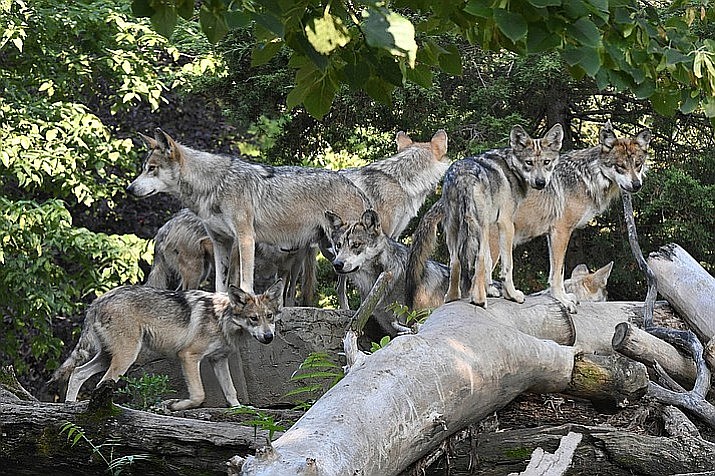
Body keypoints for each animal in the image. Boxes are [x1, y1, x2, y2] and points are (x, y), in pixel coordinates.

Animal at [47, 280, 286, 410]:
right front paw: (173, 405)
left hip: (108, 357)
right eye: (253, 319)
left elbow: (231, 391)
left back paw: (70, 407)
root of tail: (98, 300)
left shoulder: (218, 360)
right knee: (100, 383)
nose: (268, 336)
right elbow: (198, 396)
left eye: (269, 316)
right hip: (126, 357)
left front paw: (239, 410)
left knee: (77, 373)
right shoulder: (188, 356)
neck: (221, 319)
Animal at [145, 207, 314, 304]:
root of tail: (164, 228)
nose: (292, 247)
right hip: (196, 271)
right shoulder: (237, 264)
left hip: (203, 271)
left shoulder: (284, 270)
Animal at [500, 121, 652, 310]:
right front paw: (562, 299)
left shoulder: (552, 234)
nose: (637, 185)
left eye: (638, 164)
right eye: (620, 166)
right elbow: (558, 273)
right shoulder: (561, 231)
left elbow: (556, 271)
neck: (589, 176)